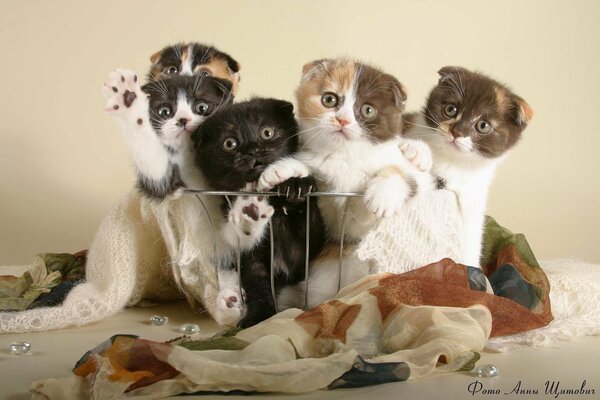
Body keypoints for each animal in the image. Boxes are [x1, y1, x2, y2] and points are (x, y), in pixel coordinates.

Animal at [193, 97, 326, 328]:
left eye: (267, 132)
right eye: (229, 143)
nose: (253, 150)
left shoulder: (304, 253)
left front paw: (296, 186)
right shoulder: (249, 256)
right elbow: (258, 284)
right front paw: (259, 315)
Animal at [404, 66, 536, 268]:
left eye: (483, 125)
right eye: (451, 109)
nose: (456, 132)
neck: (454, 162)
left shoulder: (473, 197)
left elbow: (471, 239)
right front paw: (417, 150)